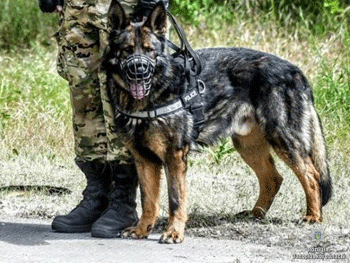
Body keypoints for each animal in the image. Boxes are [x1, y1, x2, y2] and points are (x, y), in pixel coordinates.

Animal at [102, 0, 332, 244]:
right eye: (127, 50)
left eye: (149, 51)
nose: (139, 70)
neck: (153, 93)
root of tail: (297, 71)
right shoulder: (144, 160)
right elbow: (148, 199)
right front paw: (142, 229)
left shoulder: (174, 157)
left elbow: (175, 200)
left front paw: (174, 232)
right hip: (248, 147)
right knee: (273, 178)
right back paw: (255, 214)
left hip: (283, 139)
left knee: (312, 176)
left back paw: (313, 216)